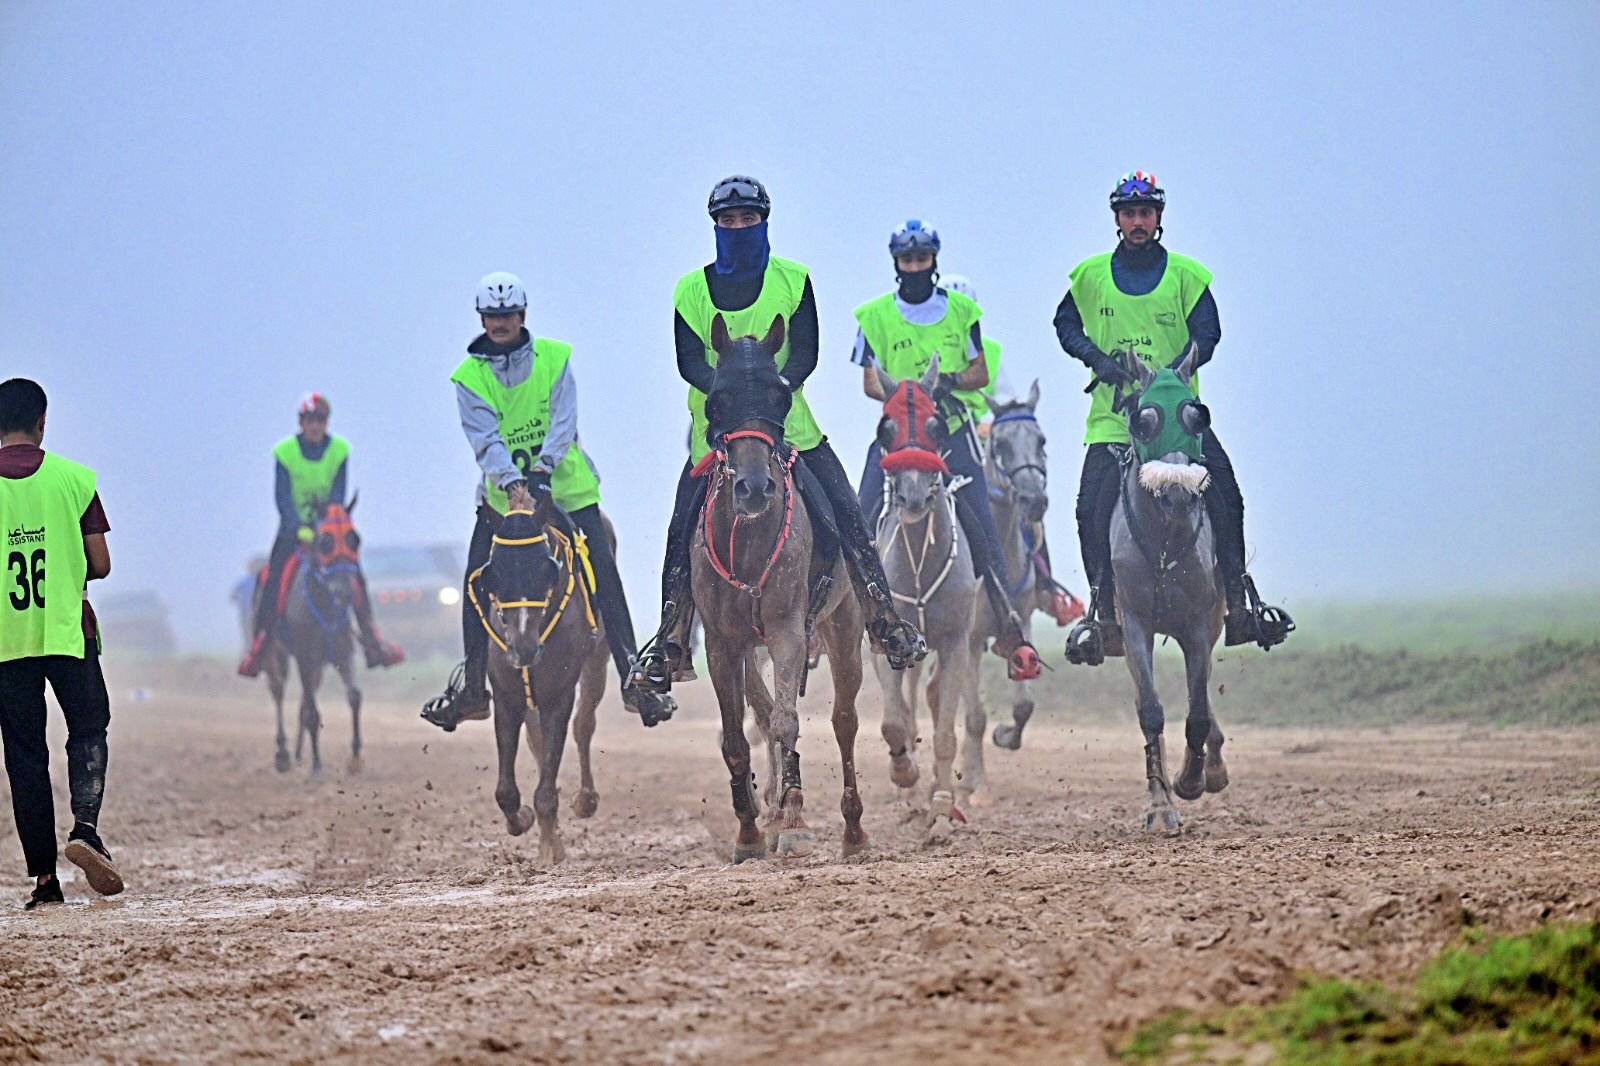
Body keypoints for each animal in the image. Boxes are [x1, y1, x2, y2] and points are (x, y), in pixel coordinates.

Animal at [257, 499, 365, 776]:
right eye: (325, 541)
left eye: (354, 539)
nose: (344, 592)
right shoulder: (304, 654)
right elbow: (313, 711)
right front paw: (317, 766)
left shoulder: (343, 650)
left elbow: (354, 696)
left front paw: (355, 757)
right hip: (276, 653)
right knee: (278, 690)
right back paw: (283, 754)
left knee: (305, 700)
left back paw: (297, 753)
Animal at [474, 496, 610, 863]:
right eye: (494, 571)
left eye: (545, 569)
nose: (523, 648)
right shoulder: (506, 696)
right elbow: (506, 791)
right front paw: (522, 819)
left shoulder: (558, 696)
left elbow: (548, 782)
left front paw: (551, 848)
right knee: (537, 740)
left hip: (597, 662)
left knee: (584, 723)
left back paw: (585, 799)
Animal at [694, 313, 867, 863]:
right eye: (718, 398)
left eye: (779, 396)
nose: (753, 487)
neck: (747, 541)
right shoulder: (723, 643)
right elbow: (737, 736)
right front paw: (751, 831)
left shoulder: (788, 629)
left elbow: (789, 719)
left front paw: (793, 822)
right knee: (764, 713)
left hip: (844, 625)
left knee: (843, 720)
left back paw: (853, 831)